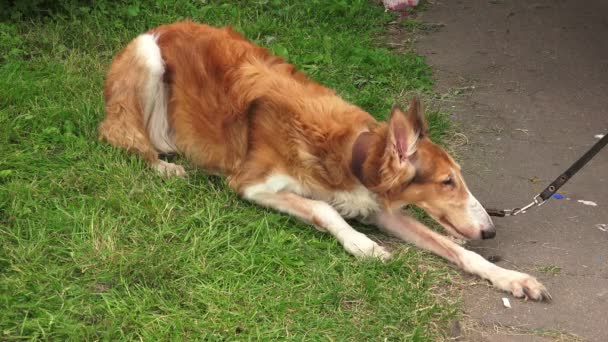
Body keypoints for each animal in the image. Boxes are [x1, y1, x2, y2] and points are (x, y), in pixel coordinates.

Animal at [98, 21, 552, 300]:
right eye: (447, 182)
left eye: (457, 178)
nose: (491, 231)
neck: (348, 155)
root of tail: (163, 26)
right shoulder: (250, 184)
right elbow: (324, 209)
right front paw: (364, 245)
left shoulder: (379, 207)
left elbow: (461, 253)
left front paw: (510, 278)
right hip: (146, 56)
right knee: (122, 136)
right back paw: (165, 165)